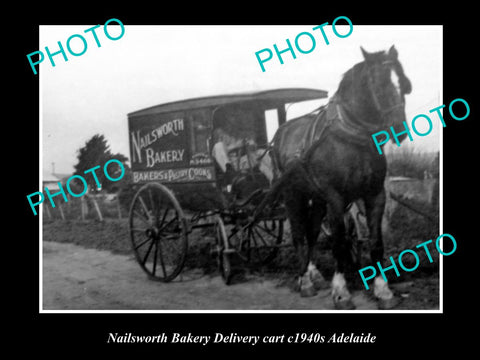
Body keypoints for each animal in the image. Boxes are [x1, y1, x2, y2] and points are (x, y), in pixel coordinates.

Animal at [270, 45, 412, 310]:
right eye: (379, 84)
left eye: (405, 84)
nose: (399, 129)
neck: (353, 137)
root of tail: (281, 132)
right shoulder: (335, 199)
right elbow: (339, 243)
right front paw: (341, 292)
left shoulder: (375, 194)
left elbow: (376, 242)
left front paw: (383, 291)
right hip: (293, 195)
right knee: (298, 234)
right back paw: (304, 281)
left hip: (316, 198)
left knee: (311, 232)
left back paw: (313, 273)